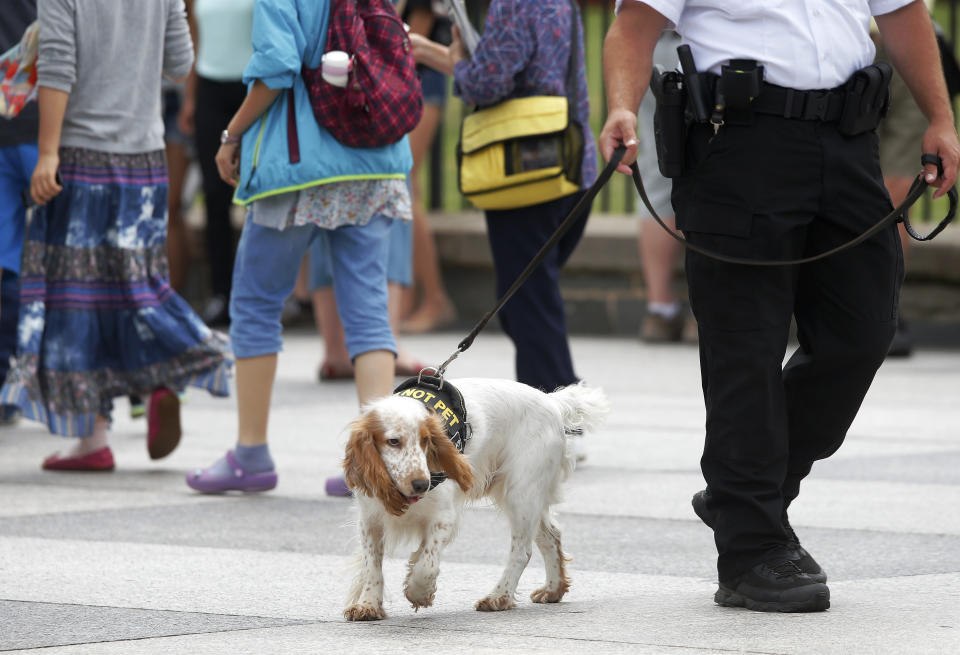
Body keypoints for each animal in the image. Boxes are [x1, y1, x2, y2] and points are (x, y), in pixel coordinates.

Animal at [340, 380, 608, 620]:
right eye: (393, 441)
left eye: (426, 440)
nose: (422, 484)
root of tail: (552, 402)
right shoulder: (370, 520)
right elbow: (372, 565)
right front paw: (368, 604)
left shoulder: (443, 516)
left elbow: (427, 564)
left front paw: (419, 592)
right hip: (530, 497)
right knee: (551, 536)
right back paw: (552, 589)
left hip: (521, 494)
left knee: (522, 551)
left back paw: (498, 597)